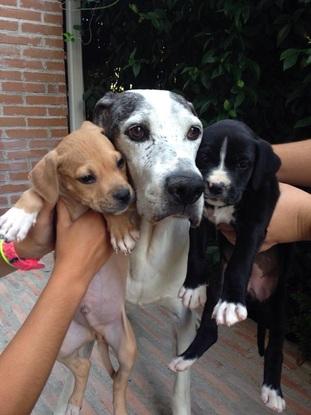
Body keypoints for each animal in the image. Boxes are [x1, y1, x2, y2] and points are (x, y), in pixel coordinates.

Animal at [0, 120, 140, 415]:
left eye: (120, 162)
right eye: (86, 178)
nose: (126, 194)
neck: (78, 205)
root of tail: (96, 332)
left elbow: (111, 212)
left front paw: (120, 229)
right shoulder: (53, 210)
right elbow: (38, 192)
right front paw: (18, 215)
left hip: (126, 347)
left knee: (119, 384)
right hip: (59, 345)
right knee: (84, 366)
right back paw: (74, 403)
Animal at [171, 119, 288, 412]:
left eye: (243, 163)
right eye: (203, 157)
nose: (215, 186)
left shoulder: (256, 222)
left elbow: (240, 260)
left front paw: (232, 303)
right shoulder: (199, 217)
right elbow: (196, 254)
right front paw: (193, 287)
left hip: (279, 301)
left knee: (276, 344)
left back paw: (273, 390)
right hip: (217, 282)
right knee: (209, 329)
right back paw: (185, 358)